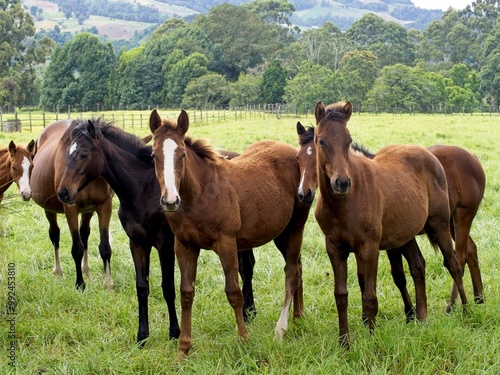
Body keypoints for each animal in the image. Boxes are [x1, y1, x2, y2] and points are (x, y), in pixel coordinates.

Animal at [30, 120, 114, 290]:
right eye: (66, 154)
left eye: (84, 154)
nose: (63, 192)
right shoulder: (71, 208)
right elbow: (77, 248)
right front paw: (80, 285)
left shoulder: (104, 206)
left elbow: (105, 247)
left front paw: (108, 284)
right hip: (49, 209)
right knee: (55, 234)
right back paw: (58, 272)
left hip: (88, 210)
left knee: (85, 233)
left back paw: (86, 271)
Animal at [55, 118, 258, 346]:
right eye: (67, 153)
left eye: (84, 154)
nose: (63, 192)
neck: (142, 191)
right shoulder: (137, 243)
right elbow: (142, 287)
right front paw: (142, 335)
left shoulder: (165, 244)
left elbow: (168, 287)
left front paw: (175, 332)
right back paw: (249, 311)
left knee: (246, 268)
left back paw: (248, 313)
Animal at [150, 108, 310, 358]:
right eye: (154, 156)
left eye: (182, 154)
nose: (170, 201)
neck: (200, 194)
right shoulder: (184, 245)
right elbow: (186, 293)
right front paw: (183, 349)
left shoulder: (226, 244)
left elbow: (234, 292)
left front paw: (244, 340)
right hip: (281, 233)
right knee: (298, 266)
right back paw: (298, 316)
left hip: (295, 226)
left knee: (291, 272)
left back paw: (281, 329)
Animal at [296, 122, 484, 312]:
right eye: (298, 158)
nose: (304, 193)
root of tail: (474, 159)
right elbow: (391, 275)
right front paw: (410, 312)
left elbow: (399, 274)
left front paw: (410, 312)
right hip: (450, 224)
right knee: (471, 250)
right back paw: (479, 297)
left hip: (460, 218)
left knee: (459, 257)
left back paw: (455, 305)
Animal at [314, 100, 466, 350]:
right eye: (321, 140)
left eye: (348, 140)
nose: (342, 182)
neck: (344, 204)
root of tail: (431, 156)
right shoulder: (335, 248)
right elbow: (341, 295)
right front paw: (344, 342)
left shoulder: (369, 248)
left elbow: (370, 296)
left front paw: (371, 340)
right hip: (407, 235)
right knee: (418, 266)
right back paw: (421, 317)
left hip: (440, 226)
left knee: (453, 264)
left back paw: (465, 309)